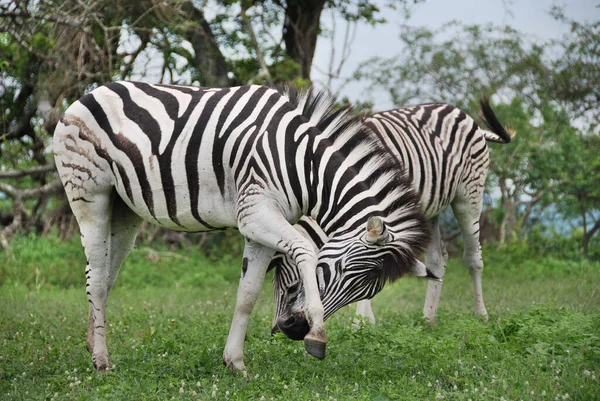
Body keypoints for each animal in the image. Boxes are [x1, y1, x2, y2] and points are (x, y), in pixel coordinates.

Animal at [52, 79, 432, 374]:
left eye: (364, 292)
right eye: (342, 270)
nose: (297, 330)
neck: (304, 164)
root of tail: (90, 93)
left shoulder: (259, 224)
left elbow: (247, 295)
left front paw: (234, 362)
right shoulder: (255, 212)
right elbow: (305, 250)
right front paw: (318, 336)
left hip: (124, 210)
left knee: (101, 277)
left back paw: (92, 345)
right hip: (90, 195)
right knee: (97, 278)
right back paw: (102, 361)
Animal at [272, 97, 510, 332]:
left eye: (293, 288)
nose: (279, 329)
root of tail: (459, 112)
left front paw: (359, 324)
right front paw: (367, 322)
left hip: (469, 195)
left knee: (473, 257)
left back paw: (481, 316)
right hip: (430, 210)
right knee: (437, 260)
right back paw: (427, 320)